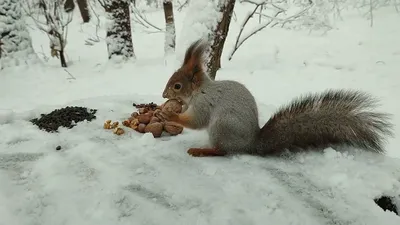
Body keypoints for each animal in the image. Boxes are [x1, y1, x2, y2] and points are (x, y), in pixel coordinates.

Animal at [156, 38, 394, 157]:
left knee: (223, 151)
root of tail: (251, 144)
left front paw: (168, 114)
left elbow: (197, 121)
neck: (199, 91)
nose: (164, 94)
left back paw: (202, 150)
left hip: (222, 126)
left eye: (177, 86)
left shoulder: (205, 103)